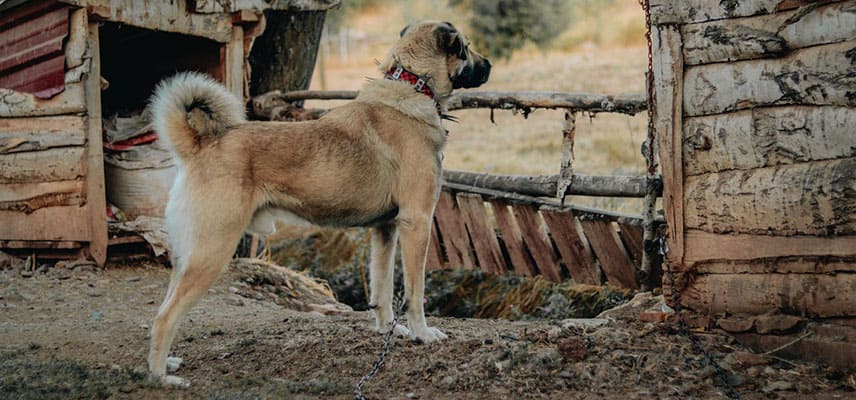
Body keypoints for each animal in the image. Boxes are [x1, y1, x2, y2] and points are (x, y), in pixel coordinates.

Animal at [149, 20, 488, 386]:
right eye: (466, 47)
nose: (489, 65)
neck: (413, 84)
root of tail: (200, 146)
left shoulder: (385, 230)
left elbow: (382, 288)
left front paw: (387, 329)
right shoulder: (417, 223)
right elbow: (414, 292)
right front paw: (422, 334)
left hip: (189, 256)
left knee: (161, 310)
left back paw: (165, 364)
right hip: (211, 253)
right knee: (164, 318)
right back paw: (160, 378)